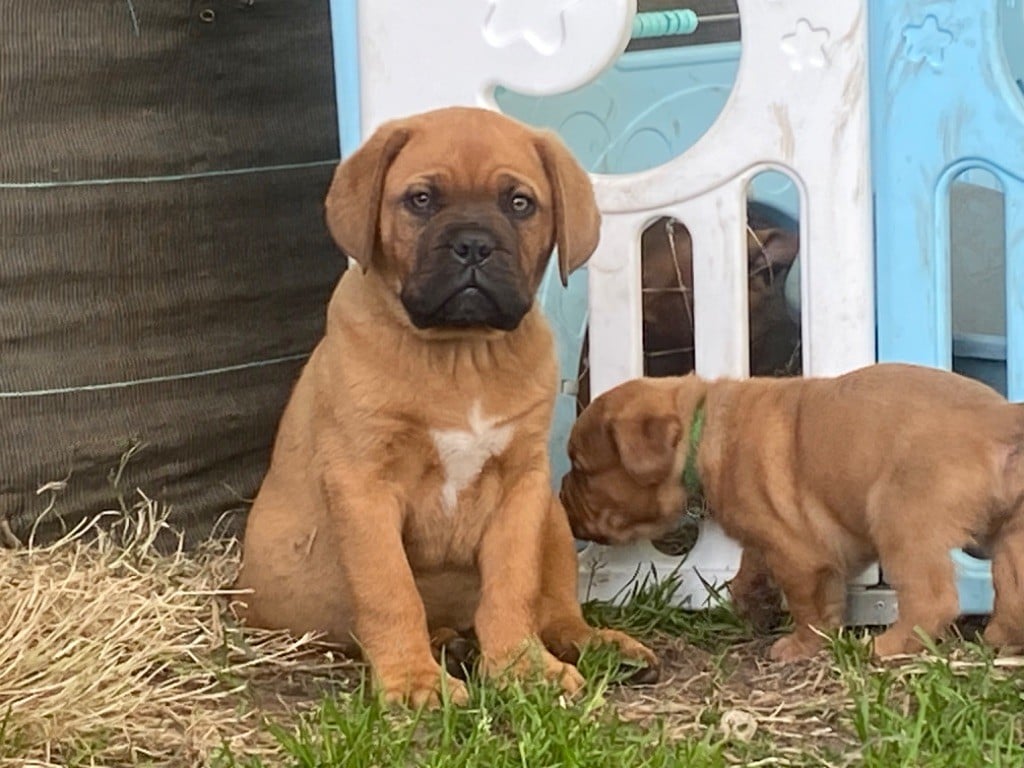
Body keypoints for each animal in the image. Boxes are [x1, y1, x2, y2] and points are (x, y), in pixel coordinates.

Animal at [234, 107, 655, 708]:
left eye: (519, 203)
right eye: (422, 199)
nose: (474, 245)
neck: (462, 355)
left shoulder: (521, 486)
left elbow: (512, 587)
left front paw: (523, 669)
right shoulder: (364, 484)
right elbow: (390, 591)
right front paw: (414, 682)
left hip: (551, 515)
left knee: (555, 610)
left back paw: (595, 644)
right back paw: (445, 645)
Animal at [561, 364, 1024, 663]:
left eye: (582, 469)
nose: (561, 499)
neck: (702, 433)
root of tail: (1000, 419)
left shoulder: (795, 555)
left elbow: (804, 604)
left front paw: (799, 646)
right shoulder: (787, 541)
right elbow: (765, 574)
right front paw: (760, 608)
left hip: (901, 520)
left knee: (933, 600)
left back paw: (885, 649)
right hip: (1011, 536)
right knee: (1011, 591)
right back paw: (1000, 639)